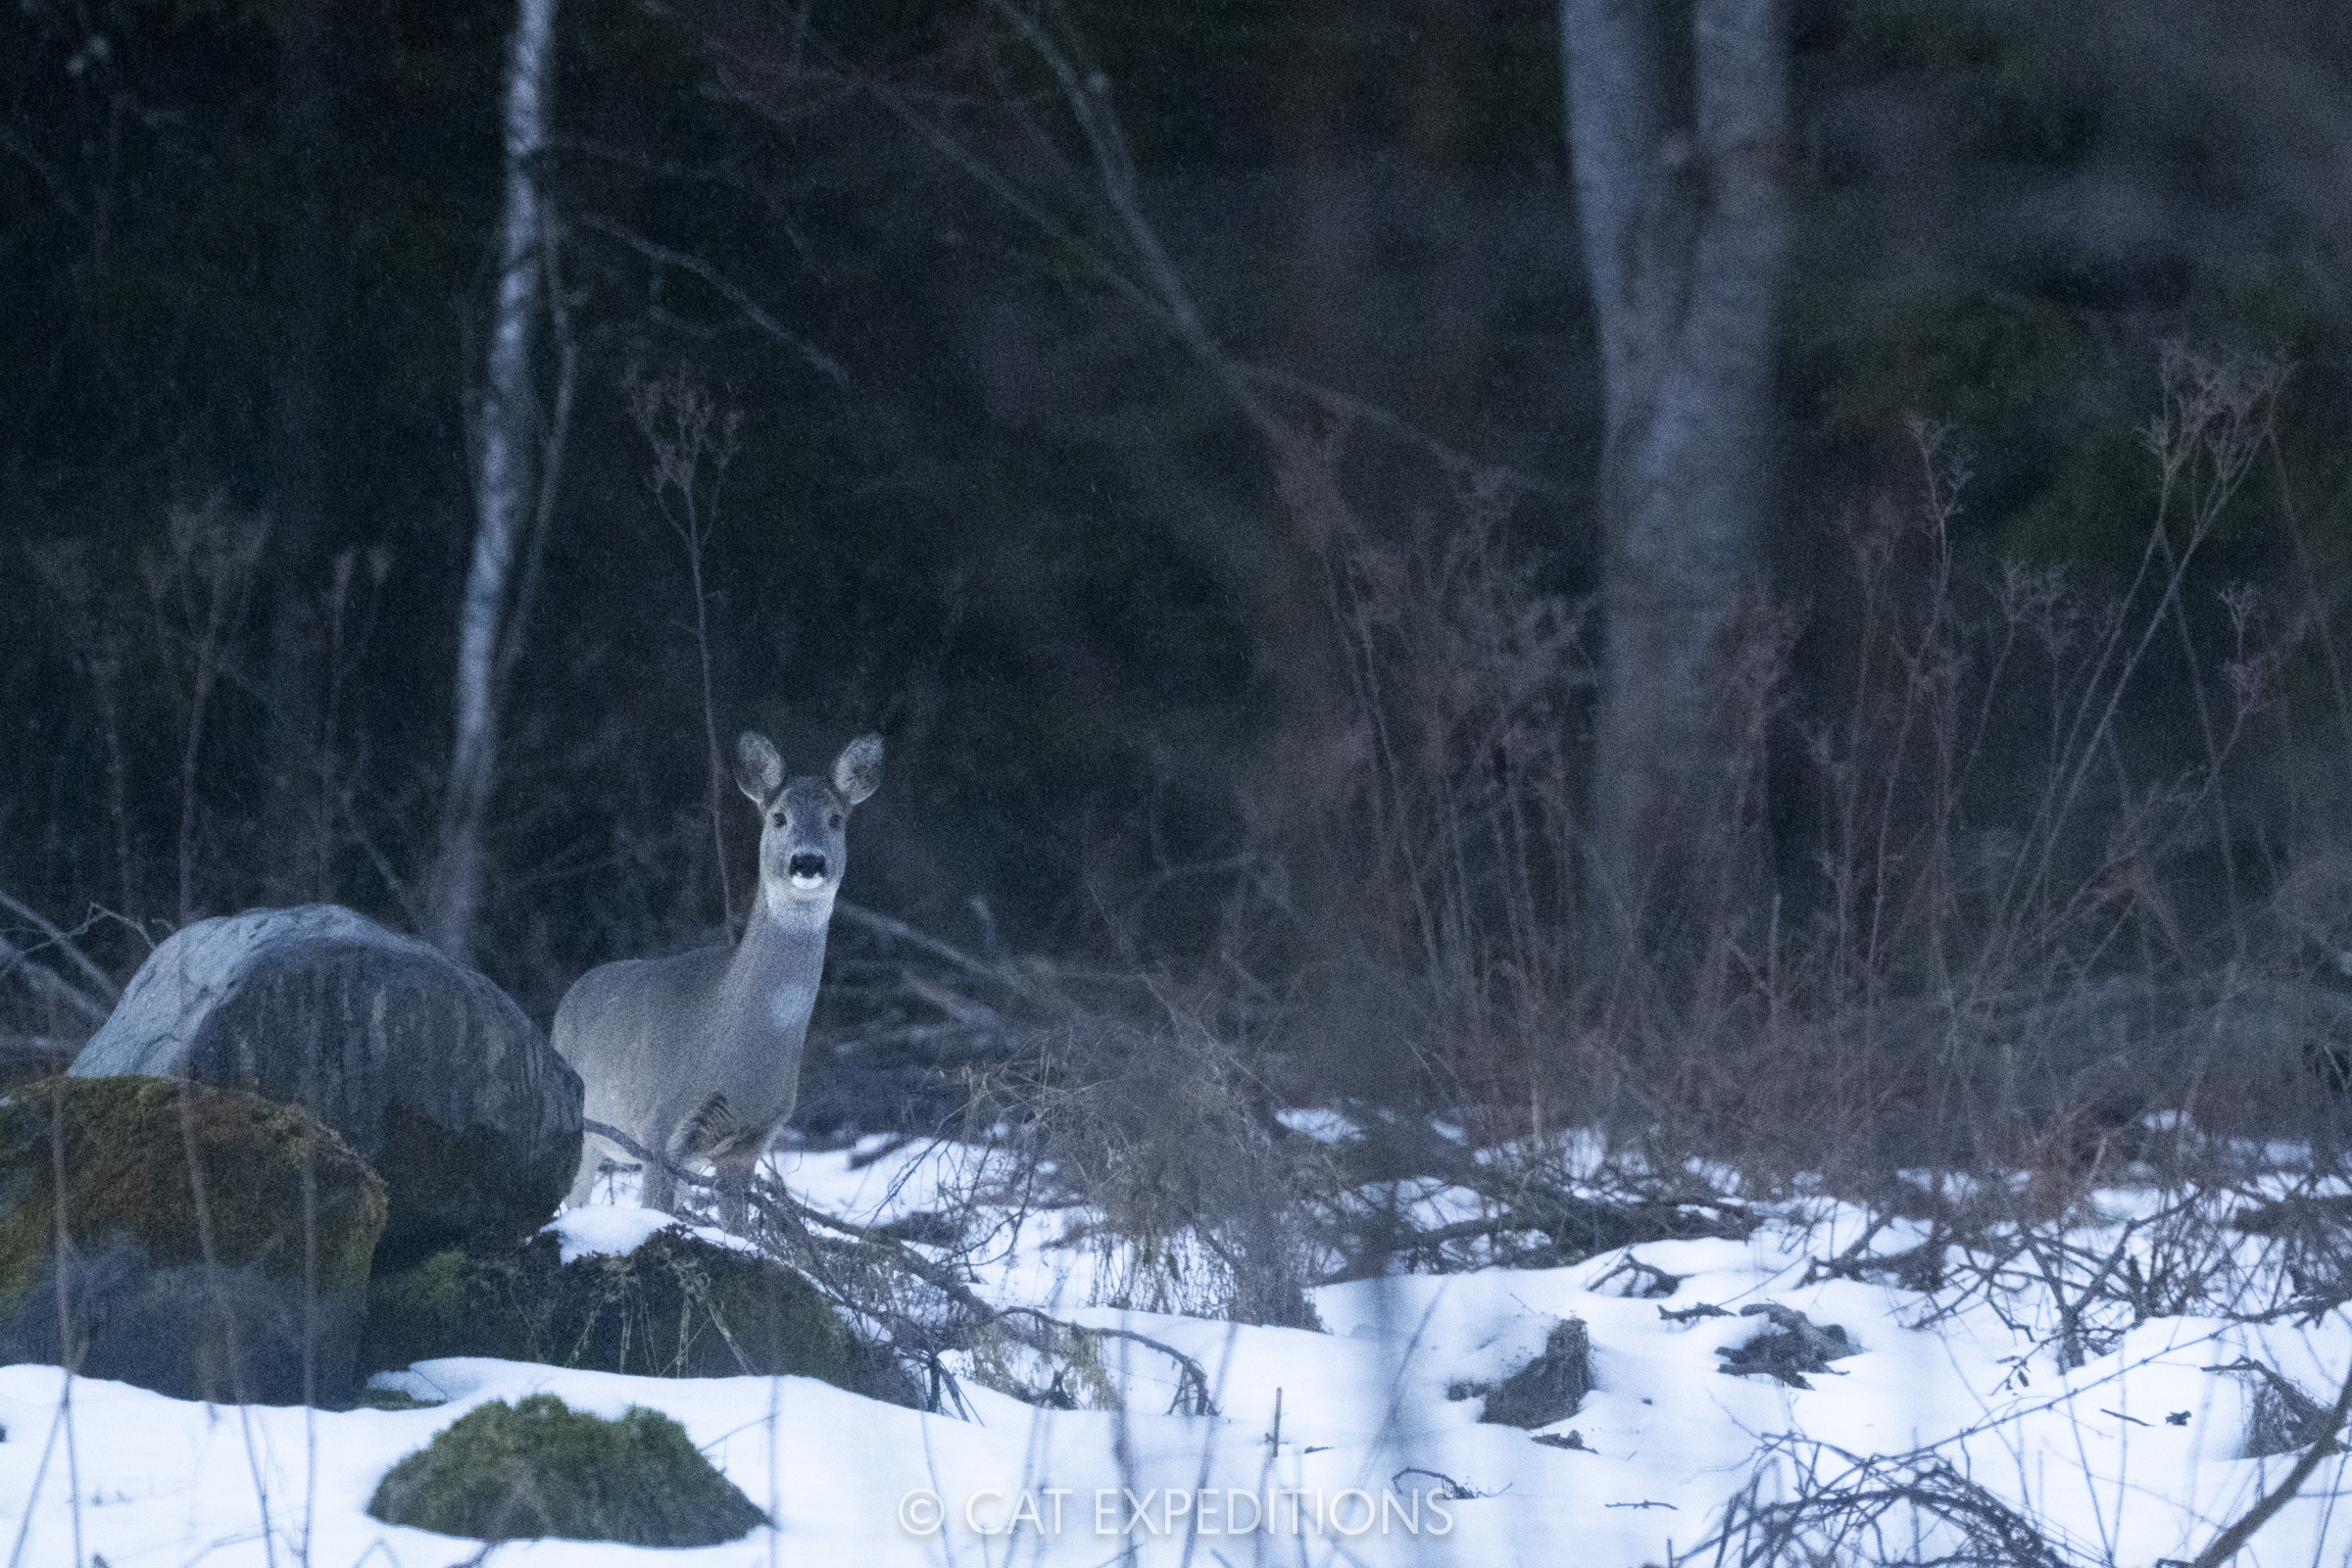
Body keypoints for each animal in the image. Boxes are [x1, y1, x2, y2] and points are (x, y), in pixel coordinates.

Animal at [557, 728, 884, 1231]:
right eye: (778, 817)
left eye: (835, 819)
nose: (808, 862)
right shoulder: (658, 1127)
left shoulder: (747, 1145)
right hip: (584, 1128)